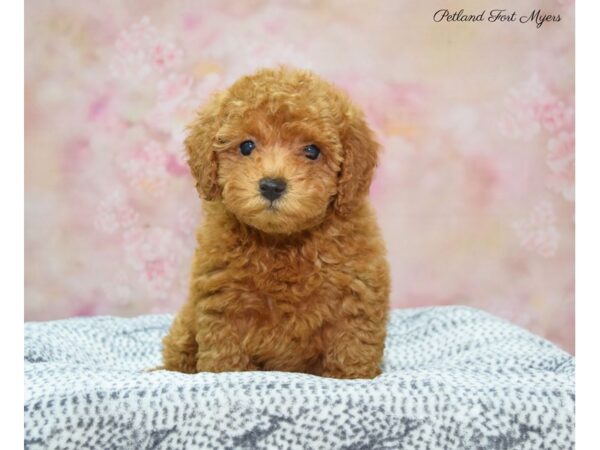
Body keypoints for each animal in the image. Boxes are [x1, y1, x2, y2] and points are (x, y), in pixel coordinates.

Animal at [162, 65, 392, 378]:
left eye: (312, 151)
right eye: (247, 146)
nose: (272, 185)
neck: (282, 242)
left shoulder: (356, 295)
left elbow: (351, 348)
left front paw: (351, 376)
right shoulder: (223, 301)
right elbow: (226, 355)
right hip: (184, 328)